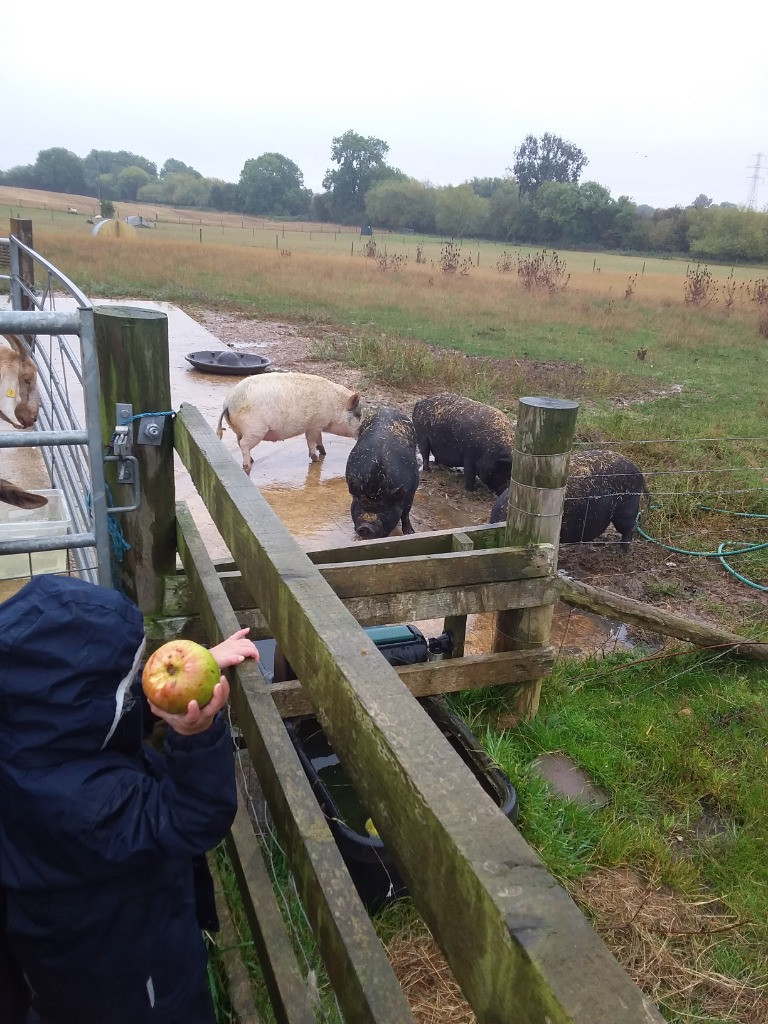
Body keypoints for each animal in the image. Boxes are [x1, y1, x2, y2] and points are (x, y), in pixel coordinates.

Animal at [215, 372, 362, 475]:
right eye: (358, 415)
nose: (361, 431)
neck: (335, 406)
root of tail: (228, 403)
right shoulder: (313, 425)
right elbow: (311, 441)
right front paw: (316, 459)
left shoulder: (317, 426)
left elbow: (319, 439)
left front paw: (324, 453)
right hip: (255, 429)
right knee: (244, 444)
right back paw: (247, 466)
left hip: (241, 431)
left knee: (239, 442)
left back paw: (252, 460)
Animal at [348, 403, 421, 540]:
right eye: (360, 505)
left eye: (383, 509)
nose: (366, 527)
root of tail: (386, 408)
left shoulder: (411, 493)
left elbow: (406, 513)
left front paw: (410, 533)